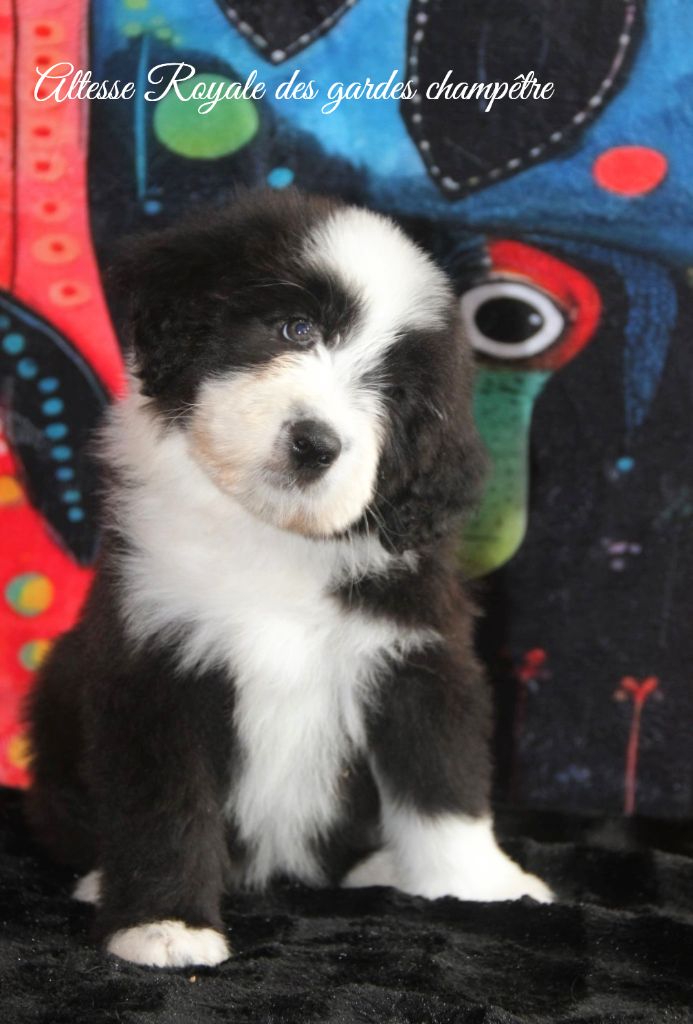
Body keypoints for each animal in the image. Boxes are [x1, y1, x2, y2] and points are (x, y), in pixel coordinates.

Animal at [25, 189, 552, 969]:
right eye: (294, 327)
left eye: (391, 395)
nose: (315, 443)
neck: (270, 537)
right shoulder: (154, 656)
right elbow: (164, 803)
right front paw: (163, 924)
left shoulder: (416, 650)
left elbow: (443, 776)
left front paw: (477, 884)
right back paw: (99, 881)